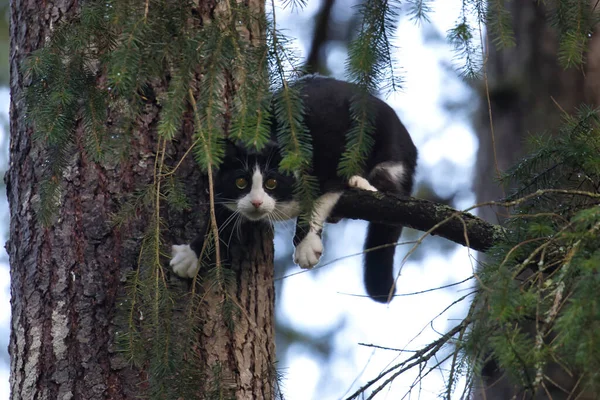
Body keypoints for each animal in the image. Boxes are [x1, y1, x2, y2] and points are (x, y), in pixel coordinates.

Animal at [170, 76, 418, 304]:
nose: (257, 202)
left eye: (271, 183)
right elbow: (218, 218)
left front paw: (306, 245)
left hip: (387, 149)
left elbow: (316, 201)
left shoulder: (331, 164)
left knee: (390, 189)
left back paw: (360, 182)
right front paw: (191, 255)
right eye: (241, 182)